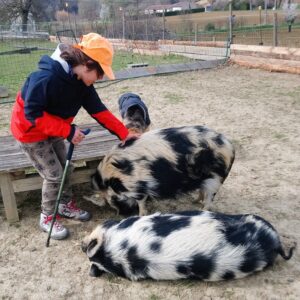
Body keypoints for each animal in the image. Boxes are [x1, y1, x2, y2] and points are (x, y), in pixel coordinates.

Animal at [90, 126, 236, 216]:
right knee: (202, 190)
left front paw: (141, 215)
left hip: (216, 179)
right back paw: (194, 201)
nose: (121, 215)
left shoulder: (137, 186)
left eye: (114, 200)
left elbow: (141, 202)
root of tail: (229, 146)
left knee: (209, 199)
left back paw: (202, 209)